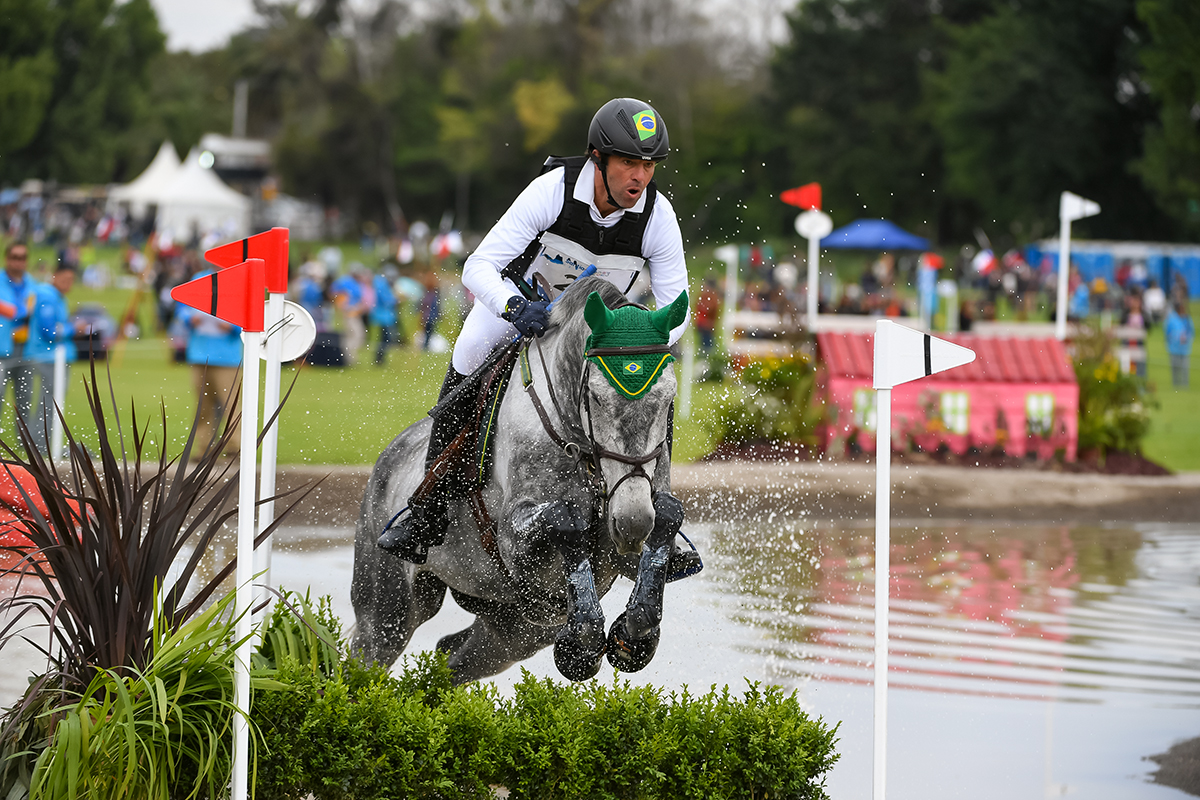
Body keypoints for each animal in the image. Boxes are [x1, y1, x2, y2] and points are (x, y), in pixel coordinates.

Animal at [350, 277, 690, 683]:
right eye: (595, 397)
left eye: (668, 398)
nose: (632, 522)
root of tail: (387, 456)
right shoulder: (513, 539)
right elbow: (566, 519)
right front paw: (583, 643)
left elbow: (667, 515)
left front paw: (634, 635)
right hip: (389, 612)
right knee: (362, 657)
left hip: (512, 632)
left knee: (451, 659)